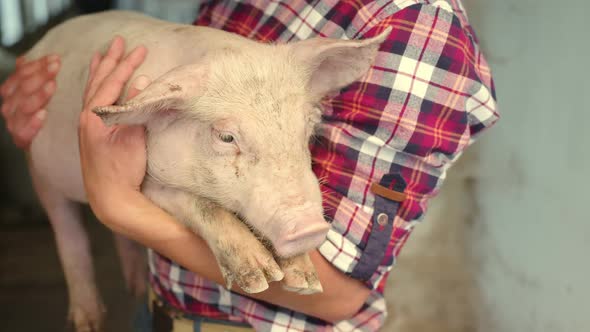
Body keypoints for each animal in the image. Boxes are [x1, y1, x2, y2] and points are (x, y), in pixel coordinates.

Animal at [24, 9, 394, 330]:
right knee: (68, 232)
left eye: (307, 126)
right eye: (226, 136)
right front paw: (260, 279)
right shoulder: (142, 180)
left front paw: (304, 283)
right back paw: (88, 322)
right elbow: (203, 205)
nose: (309, 227)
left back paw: (135, 287)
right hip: (41, 172)